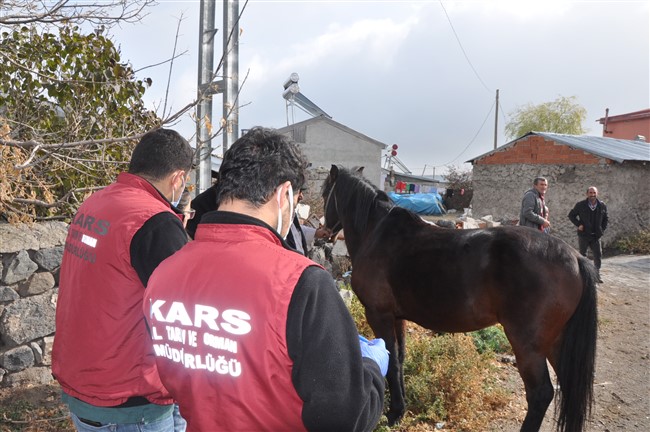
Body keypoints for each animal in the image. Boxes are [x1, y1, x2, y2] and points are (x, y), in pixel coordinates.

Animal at [322, 166, 596, 432]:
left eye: (325, 193)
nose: (322, 234)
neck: (377, 233)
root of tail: (575, 258)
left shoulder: (378, 314)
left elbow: (391, 362)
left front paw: (395, 412)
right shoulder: (397, 317)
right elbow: (398, 357)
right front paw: (401, 407)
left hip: (528, 346)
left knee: (540, 394)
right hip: (556, 342)